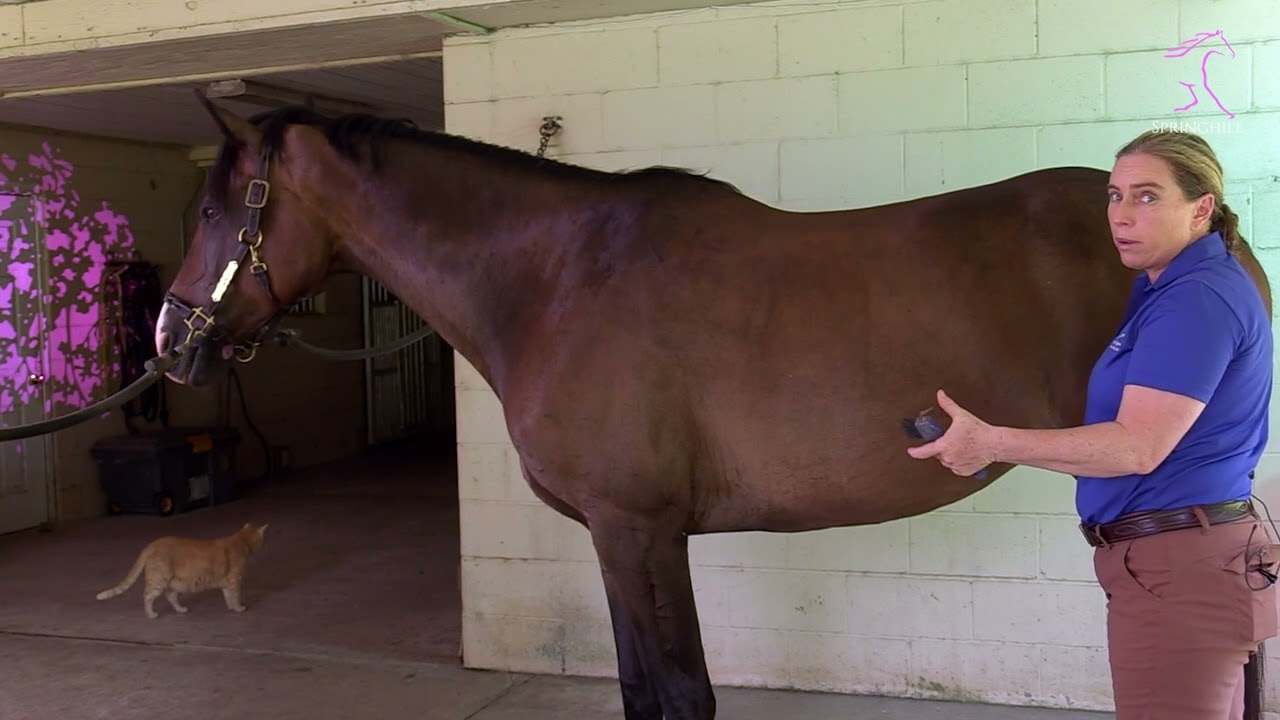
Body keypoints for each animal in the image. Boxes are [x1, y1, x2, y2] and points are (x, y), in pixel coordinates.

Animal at [154, 93, 1272, 720]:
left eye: (215, 209)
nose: (170, 341)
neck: (554, 280)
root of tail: (1218, 232)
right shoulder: (621, 536)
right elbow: (644, 692)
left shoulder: (636, 528)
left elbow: (679, 693)